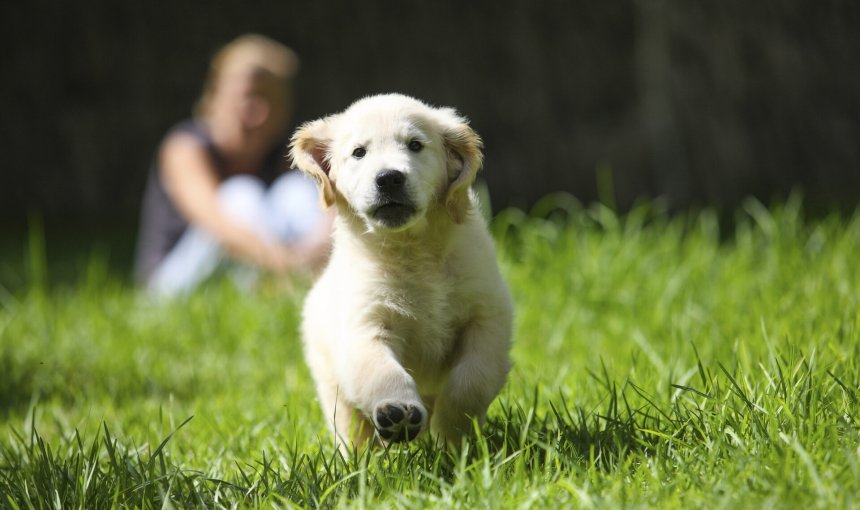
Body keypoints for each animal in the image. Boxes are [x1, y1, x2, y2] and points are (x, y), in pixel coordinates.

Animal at [292, 93, 512, 448]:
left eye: (415, 145)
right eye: (359, 152)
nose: (389, 178)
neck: (412, 249)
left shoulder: (486, 317)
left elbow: (471, 381)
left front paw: (452, 434)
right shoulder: (364, 326)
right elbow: (380, 371)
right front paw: (398, 412)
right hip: (330, 384)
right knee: (352, 429)